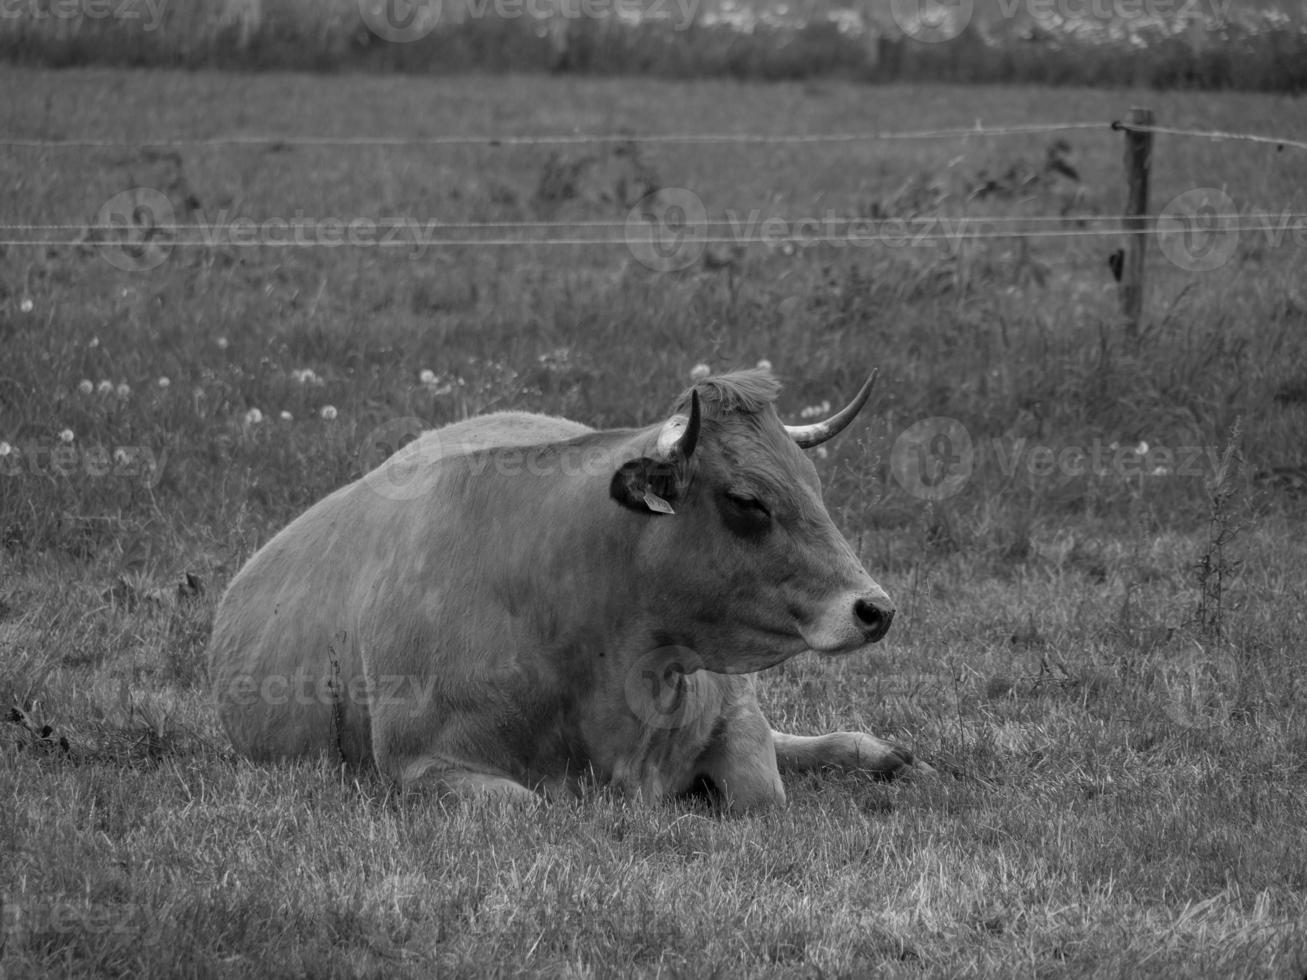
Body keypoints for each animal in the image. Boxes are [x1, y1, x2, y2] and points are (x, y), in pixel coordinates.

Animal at [209, 368, 925, 815]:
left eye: (813, 484)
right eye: (747, 500)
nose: (876, 609)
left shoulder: (735, 714)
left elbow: (760, 790)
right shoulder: (423, 767)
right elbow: (528, 806)